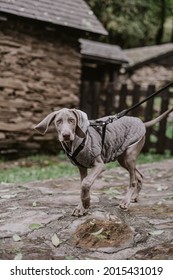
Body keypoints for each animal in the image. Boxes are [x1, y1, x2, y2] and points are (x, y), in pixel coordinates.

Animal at [34, 107, 172, 217]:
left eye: (72, 120)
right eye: (58, 122)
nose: (66, 135)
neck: (75, 143)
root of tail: (141, 122)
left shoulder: (99, 165)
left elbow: (86, 183)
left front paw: (86, 203)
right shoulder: (81, 167)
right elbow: (83, 185)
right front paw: (82, 206)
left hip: (130, 156)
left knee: (133, 180)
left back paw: (126, 201)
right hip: (123, 158)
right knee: (139, 175)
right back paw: (134, 197)